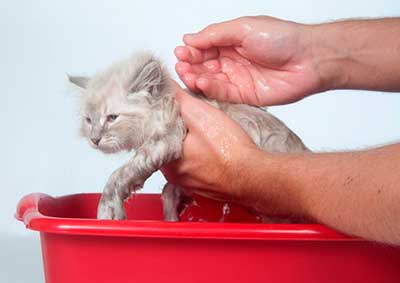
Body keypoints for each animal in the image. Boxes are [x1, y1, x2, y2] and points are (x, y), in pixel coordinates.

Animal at [69, 52, 308, 223]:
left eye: (112, 118)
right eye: (89, 120)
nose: (94, 140)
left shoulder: (164, 142)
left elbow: (117, 177)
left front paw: (108, 213)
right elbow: (168, 192)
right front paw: (172, 219)